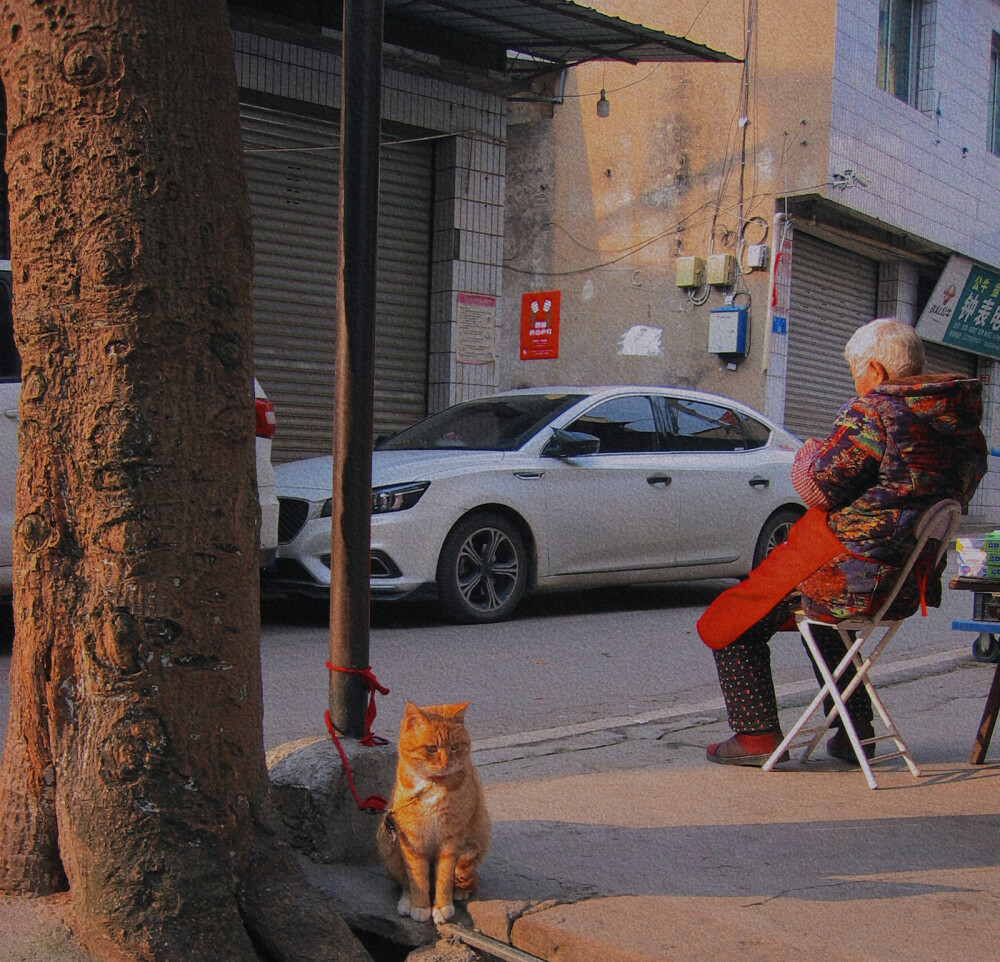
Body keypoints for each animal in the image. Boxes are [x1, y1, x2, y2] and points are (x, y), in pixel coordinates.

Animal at [376, 700, 490, 920]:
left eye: (455, 747)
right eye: (431, 748)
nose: (446, 763)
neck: (433, 783)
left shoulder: (451, 838)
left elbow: (444, 876)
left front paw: (442, 905)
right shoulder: (412, 839)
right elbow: (417, 878)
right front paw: (420, 906)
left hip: (477, 839)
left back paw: (459, 891)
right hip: (389, 846)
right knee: (405, 883)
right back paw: (407, 901)